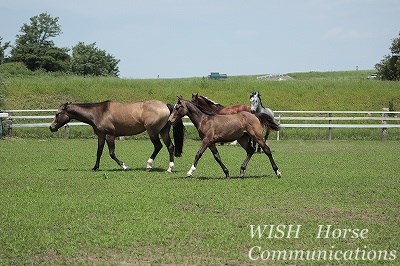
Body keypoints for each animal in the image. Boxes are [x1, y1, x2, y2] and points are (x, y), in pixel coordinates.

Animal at [48, 100, 184, 172]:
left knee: (158, 146)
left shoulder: (110, 136)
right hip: (163, 132)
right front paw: (95, 167)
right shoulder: (101, 136)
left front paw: (124, 166)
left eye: (57, 114)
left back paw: (149, 165)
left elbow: (112, 153)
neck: (99, 113)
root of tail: (165, 105)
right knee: (170, 147)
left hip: (153, 132)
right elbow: (99, 152)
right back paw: (170, 168)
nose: (51, 127)